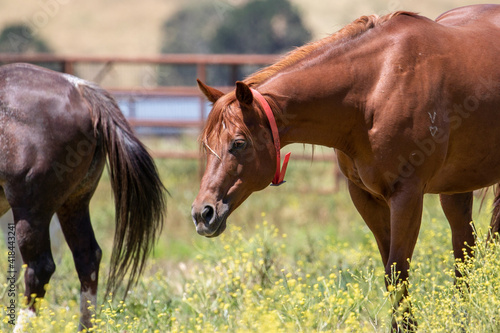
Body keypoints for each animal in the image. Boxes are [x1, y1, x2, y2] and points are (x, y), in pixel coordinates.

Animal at [193, 5, 500, 330]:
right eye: (206, 144)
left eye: (238, 143)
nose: (203, 213)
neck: (376, 89)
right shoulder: (366, 197)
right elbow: (391, 274)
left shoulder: (407, 195)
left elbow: (398, 272)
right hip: (455, 189)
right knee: (464, 253)